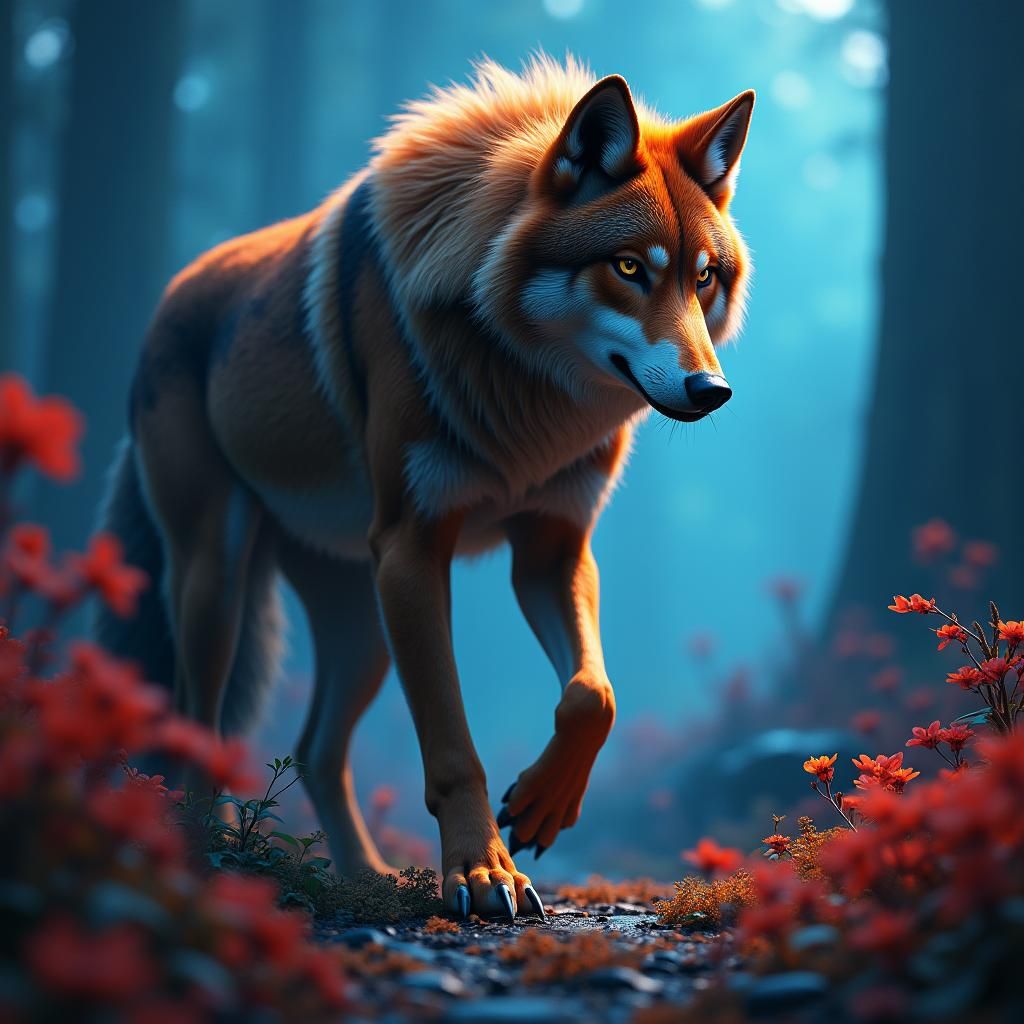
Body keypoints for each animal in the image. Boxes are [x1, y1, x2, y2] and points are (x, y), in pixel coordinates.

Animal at [96, 57, 754, 920]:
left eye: (703, 277)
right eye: (629, 268)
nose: (712, 390)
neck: (529, 395)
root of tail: (169, 298)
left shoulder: (552, 550)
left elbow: (593, 696)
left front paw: (543, 804)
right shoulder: (413, 548)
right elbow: (451, 748)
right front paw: (481, 874)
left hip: (364, 624)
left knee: (314, 750)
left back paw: (361, 879)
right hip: (221, 584)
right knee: (197, 722)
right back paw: (205, 858)